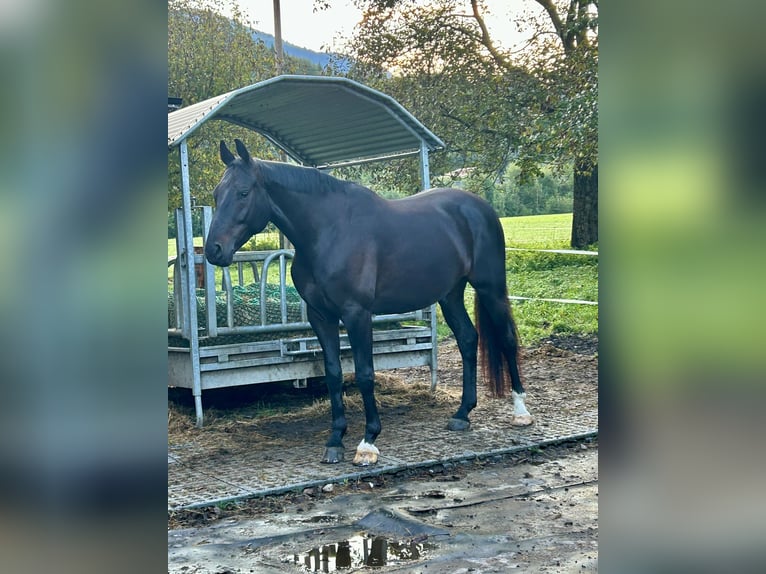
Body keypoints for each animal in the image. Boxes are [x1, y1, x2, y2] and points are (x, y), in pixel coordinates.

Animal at [207, 141, 536, 468]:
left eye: (243, 192)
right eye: (216, 194)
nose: (214, 250)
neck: (328, 231)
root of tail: (480, 207)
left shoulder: (357, 313)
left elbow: (365, 374)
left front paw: (368, 442)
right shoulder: (320, 316)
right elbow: (333, 373)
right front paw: (335, 440)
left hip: (491, 288)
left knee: (506, 339)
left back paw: (520, 411)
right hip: (450, 294)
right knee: (468, 339)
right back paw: (462, 414)